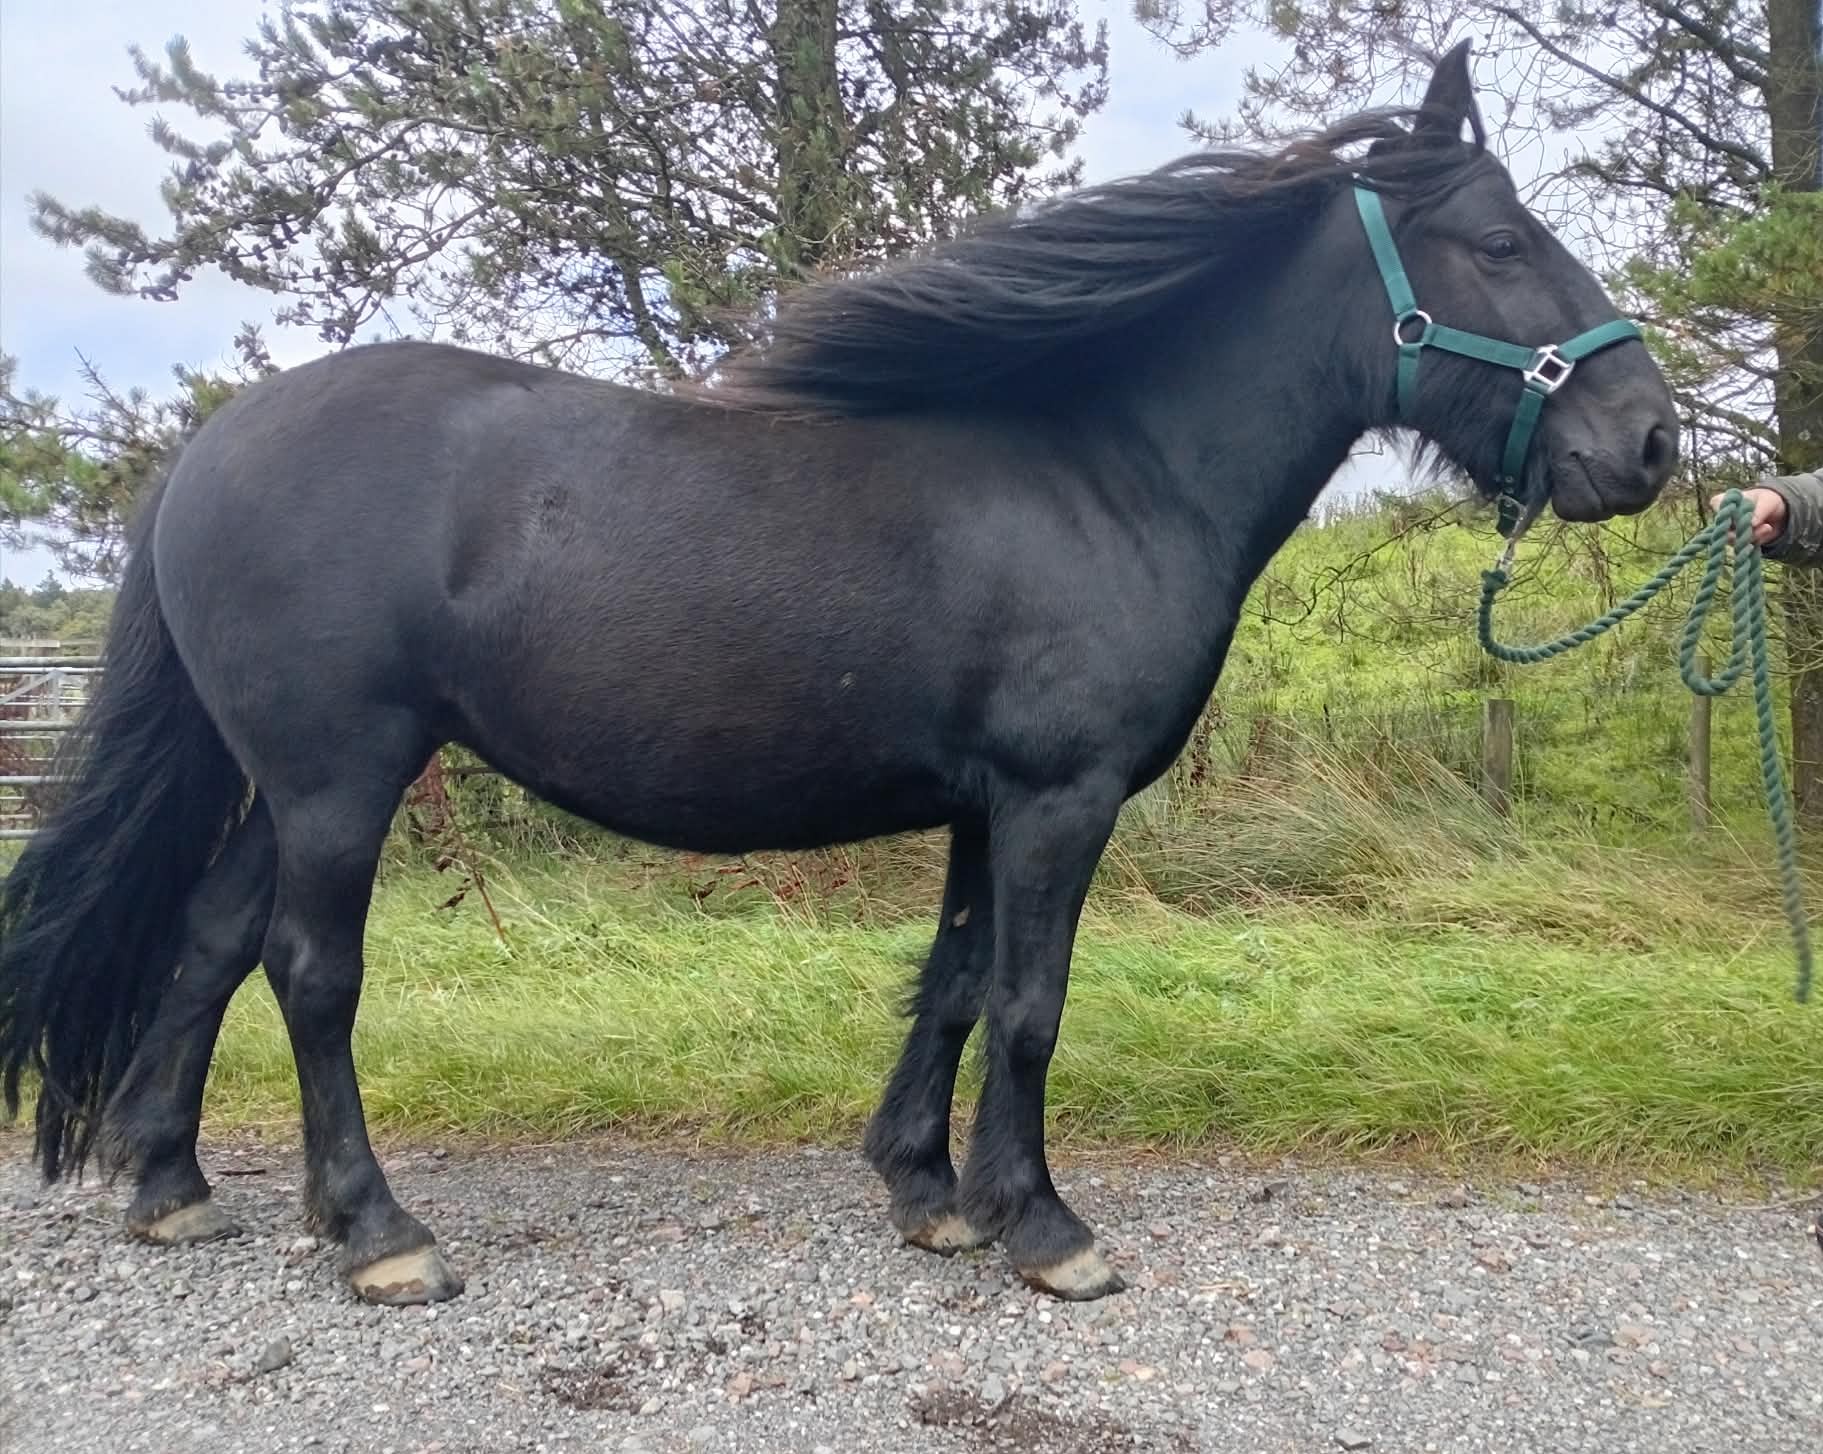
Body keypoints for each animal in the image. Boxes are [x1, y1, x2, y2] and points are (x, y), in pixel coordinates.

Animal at [0, 42, 1676, 1306]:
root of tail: (207, 448)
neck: (1103, 471)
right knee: (308, 970)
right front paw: (1043, 1226)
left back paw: (170, 1181)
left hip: (290, 781)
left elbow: (950, 983)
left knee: (211, 941)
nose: (1649, 441)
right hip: (339, 776)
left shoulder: (985, 803)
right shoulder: (1057, 799)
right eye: (1501, 242)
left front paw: (929, 1192)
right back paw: (377, 1233)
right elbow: (1027, 1003)